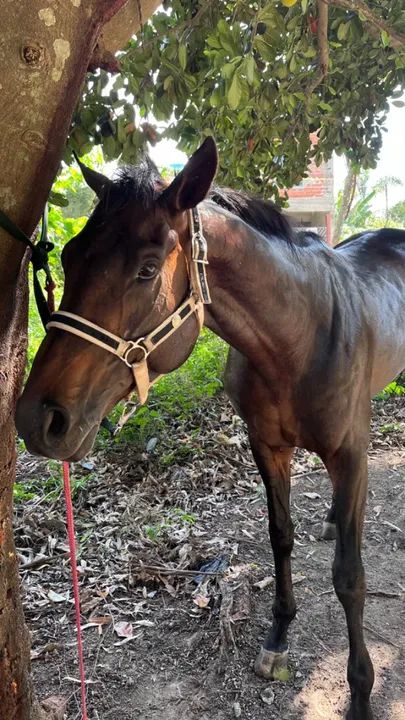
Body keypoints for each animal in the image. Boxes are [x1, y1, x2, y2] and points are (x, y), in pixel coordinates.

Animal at [16, 137, 405, 720]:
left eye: (147, 270)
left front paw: (361, 691)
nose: (38, 418)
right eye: (67, 256)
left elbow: (350, 577)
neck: (299, 336)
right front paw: (277, 638)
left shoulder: (351, 455)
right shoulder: (267, 445)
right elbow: (280, 536)